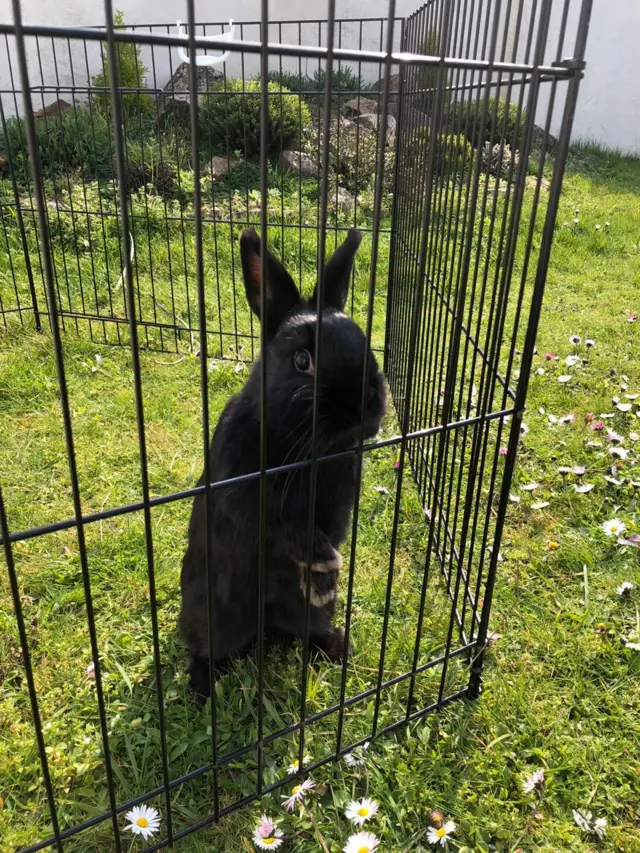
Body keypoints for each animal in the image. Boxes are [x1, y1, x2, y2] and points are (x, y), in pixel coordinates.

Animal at [179, 227, 386, 699]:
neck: (308, 450)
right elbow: (287, 530)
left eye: (366, 345)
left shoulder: (336, 508)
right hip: (214, 614)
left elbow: (322, 530)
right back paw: (202, 689)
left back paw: (337, 646)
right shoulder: (245, 501)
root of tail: (266, 623)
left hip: (302, 616)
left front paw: (324, 578)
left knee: (308, 628)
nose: (364, 406)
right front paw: (324, 567)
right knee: (204, 647)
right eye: (302, 361)